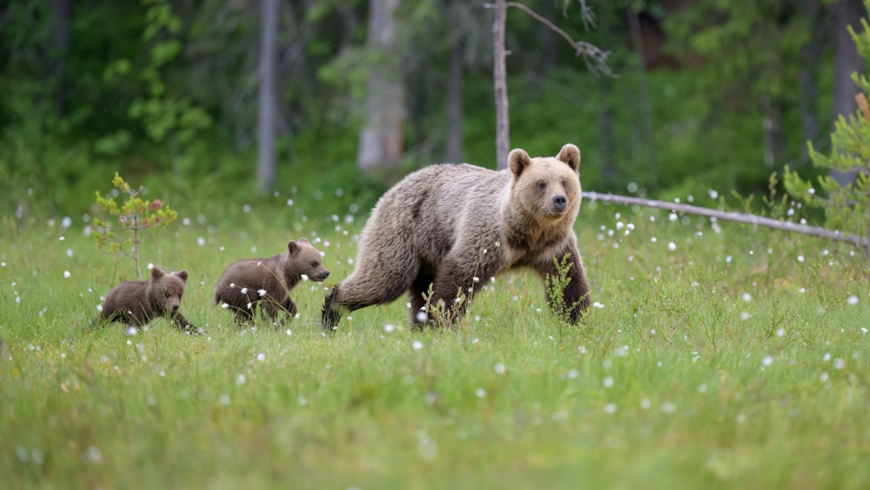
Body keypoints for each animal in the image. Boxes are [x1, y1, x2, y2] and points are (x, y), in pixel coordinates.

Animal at [322, 143, 590, 329]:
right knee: (384, 279)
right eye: (541, 183)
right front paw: (440, 322)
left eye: (564, 181)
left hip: (427, 252)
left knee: (418, 289)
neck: (527, 234)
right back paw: (330, 312)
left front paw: (577, 320)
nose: (559, 200)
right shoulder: (486, 237)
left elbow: (568, 281)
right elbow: (458, 279)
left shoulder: (554, 246)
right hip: (403, 232)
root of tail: (397, 185)